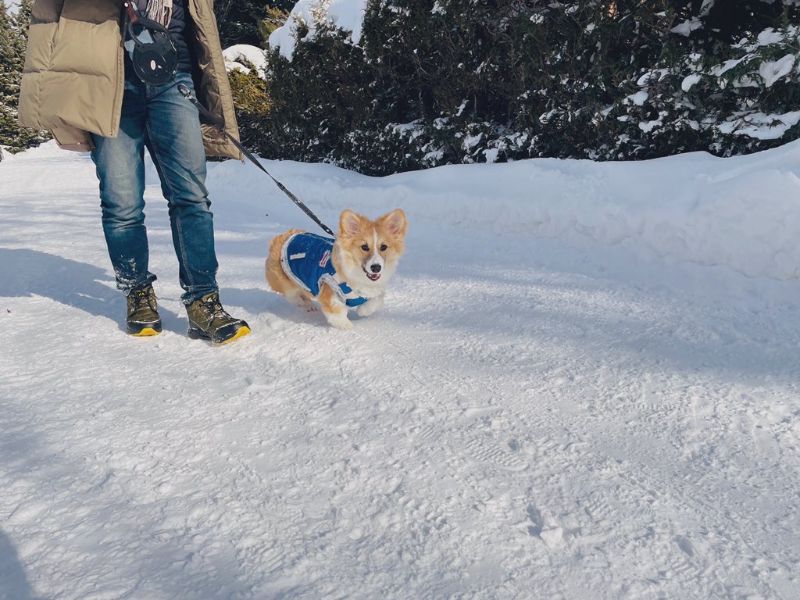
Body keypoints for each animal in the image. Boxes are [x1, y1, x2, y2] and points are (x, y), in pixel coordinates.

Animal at [268, 206, 410, 328]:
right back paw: (306, 304)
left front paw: (363, 311)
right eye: (364, 247)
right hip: (284, 282)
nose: (376, 268)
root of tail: (285, 235)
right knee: (292, 296)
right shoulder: (328, 288)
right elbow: (337, 312)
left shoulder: (373, 291)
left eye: (383, 247)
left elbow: (376, 299)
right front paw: (348, 327)